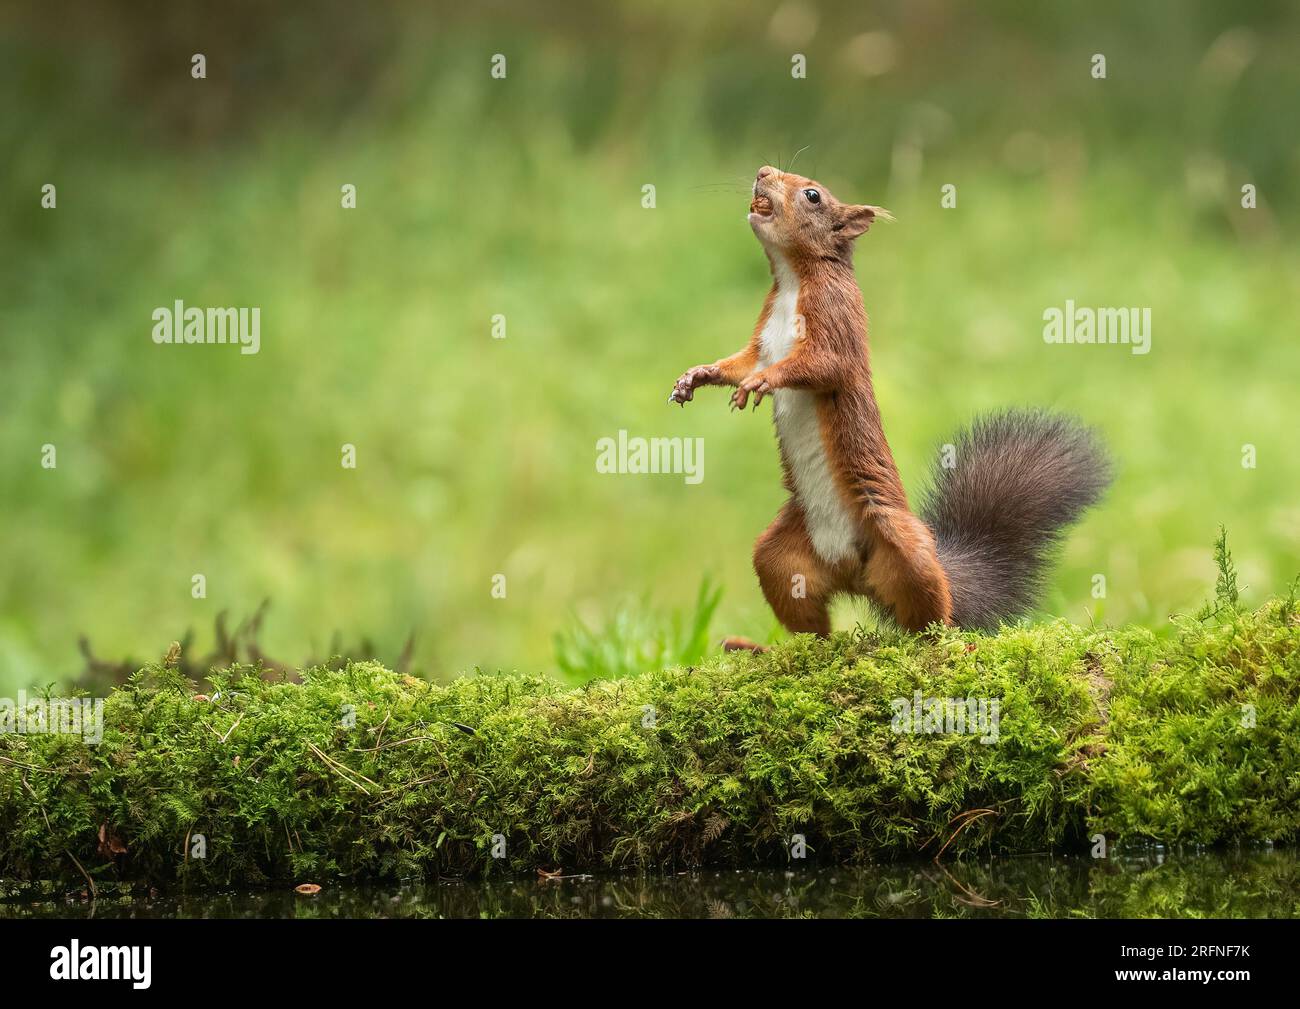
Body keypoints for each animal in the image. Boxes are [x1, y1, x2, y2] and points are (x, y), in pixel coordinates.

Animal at [670, 165, 1107, 639]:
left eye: (813, 195)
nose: (764, 171)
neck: (791, 280)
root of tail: (854, 575)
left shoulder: (836, 318)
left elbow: (822, 365)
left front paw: (761, 382)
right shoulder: (764, 337)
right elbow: (741, 361)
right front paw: (698, 375)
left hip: (901, 544)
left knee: (932, 611)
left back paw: (946, 640)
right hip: (780, 559)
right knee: (811, 622)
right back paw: (763, 646)